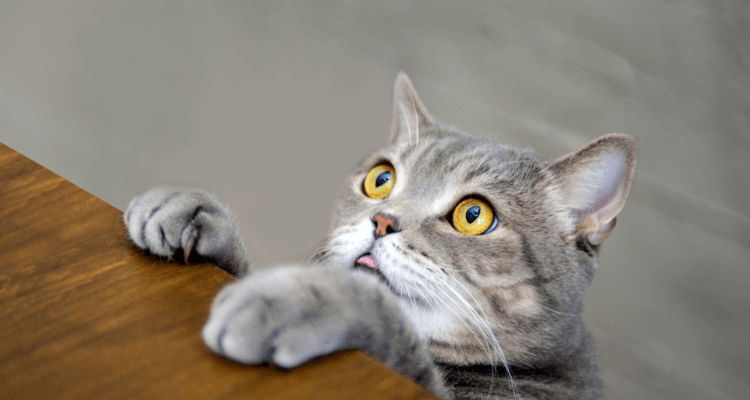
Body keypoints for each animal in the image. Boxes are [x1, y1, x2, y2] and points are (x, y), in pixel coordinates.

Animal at [125, 73, 640, 398]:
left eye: (474, 215)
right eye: (381, 179)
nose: (383, 221)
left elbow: (387, 320)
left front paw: (293, 301)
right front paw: (193, 211)